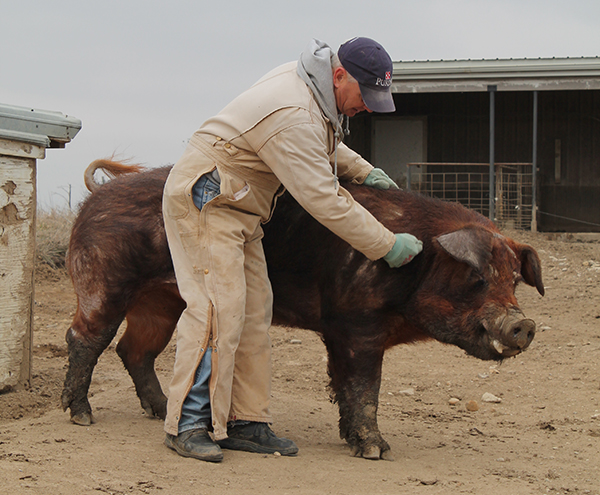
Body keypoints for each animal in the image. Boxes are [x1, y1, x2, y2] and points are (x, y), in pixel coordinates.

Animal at [62, 162, 544, 462]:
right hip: (103, 281)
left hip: (159, 303)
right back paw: (82, 416)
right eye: (476, 277)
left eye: (514, 280)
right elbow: (365, 386)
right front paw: (378, 451)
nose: (523, 323)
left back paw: (160, 409)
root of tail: (94, 197)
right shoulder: (355, 324)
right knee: (86, 338)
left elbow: (348, 388)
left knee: (133, 350)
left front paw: (356, 442)